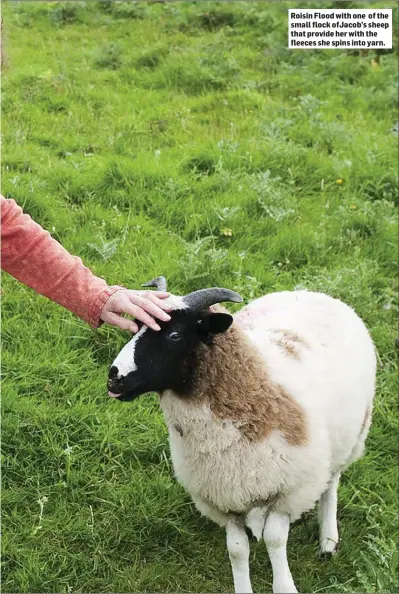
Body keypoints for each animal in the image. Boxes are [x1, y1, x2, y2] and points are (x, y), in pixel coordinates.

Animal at [108, 276, 376, 592]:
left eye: (174, 335)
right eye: (136, 326)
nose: (114, 377)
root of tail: (315, 294)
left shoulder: (290, 491)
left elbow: (275, 540)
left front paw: (284, 585)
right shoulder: (221, 497)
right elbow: (237, 549)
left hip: (349, 440)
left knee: (331, 483)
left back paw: (328, 538)